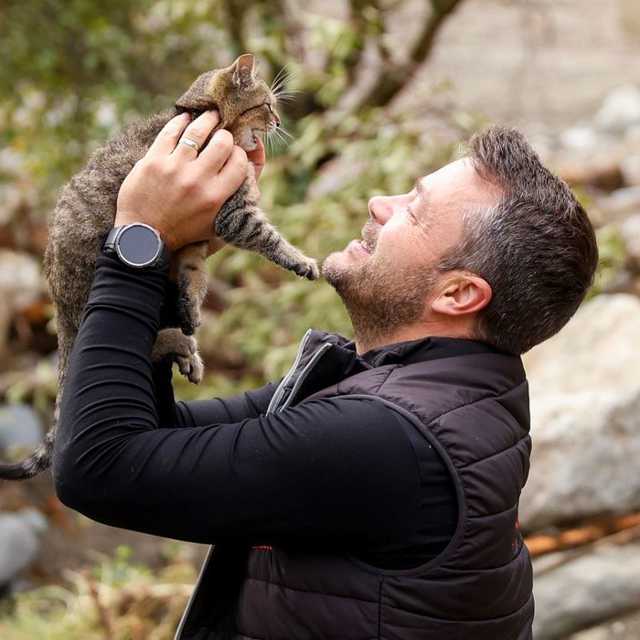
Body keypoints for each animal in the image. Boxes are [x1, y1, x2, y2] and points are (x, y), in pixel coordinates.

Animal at [0, 52, 318, 478]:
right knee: (142, 343)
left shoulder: (195, 243)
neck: (204, 117)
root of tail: (59, 309)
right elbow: (270, 238)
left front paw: (192, 306)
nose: (280, 123)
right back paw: (180, 343)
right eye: (267, 105)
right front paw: (302, 260)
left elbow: (193, 276)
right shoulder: (234, 215)